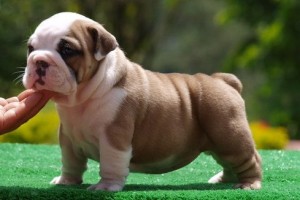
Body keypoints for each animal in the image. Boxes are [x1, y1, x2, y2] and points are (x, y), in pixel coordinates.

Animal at [22, 12, 262, 191]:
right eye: (31, 48)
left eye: (67, 50)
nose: (39, 61)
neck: (83, 97)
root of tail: (223, 80)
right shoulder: (69, 139)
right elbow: (71, 162)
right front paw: (66, 182)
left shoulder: (113, 137)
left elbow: (111, 163)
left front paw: (105, 187)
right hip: (220, 144)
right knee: (229, 163)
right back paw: (223, 180)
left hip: (229, 136)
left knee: (250, 160)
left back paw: (249, 184)